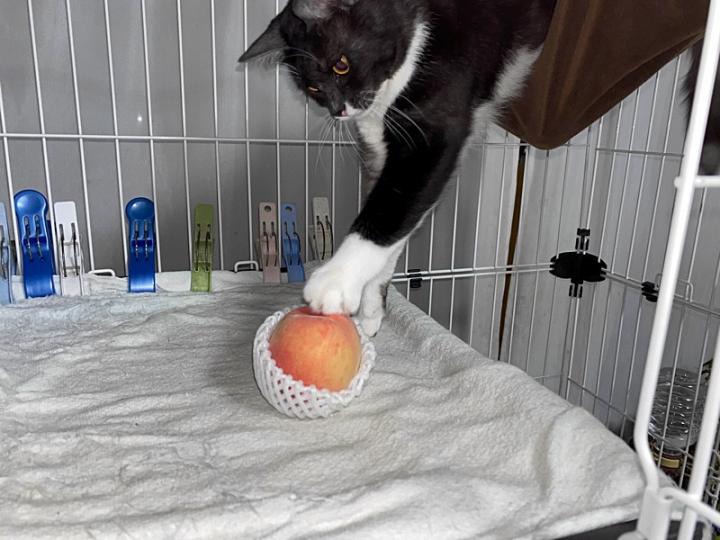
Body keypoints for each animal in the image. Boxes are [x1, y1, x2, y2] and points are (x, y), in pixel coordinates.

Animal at [240, 0, 556, 336]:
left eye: (341, 65)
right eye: (312, 88)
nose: (338, 111)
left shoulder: (432, 135)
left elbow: (389, 209)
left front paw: (336, 282)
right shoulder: (377, 153)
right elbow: (399, 221)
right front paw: (371, 310)